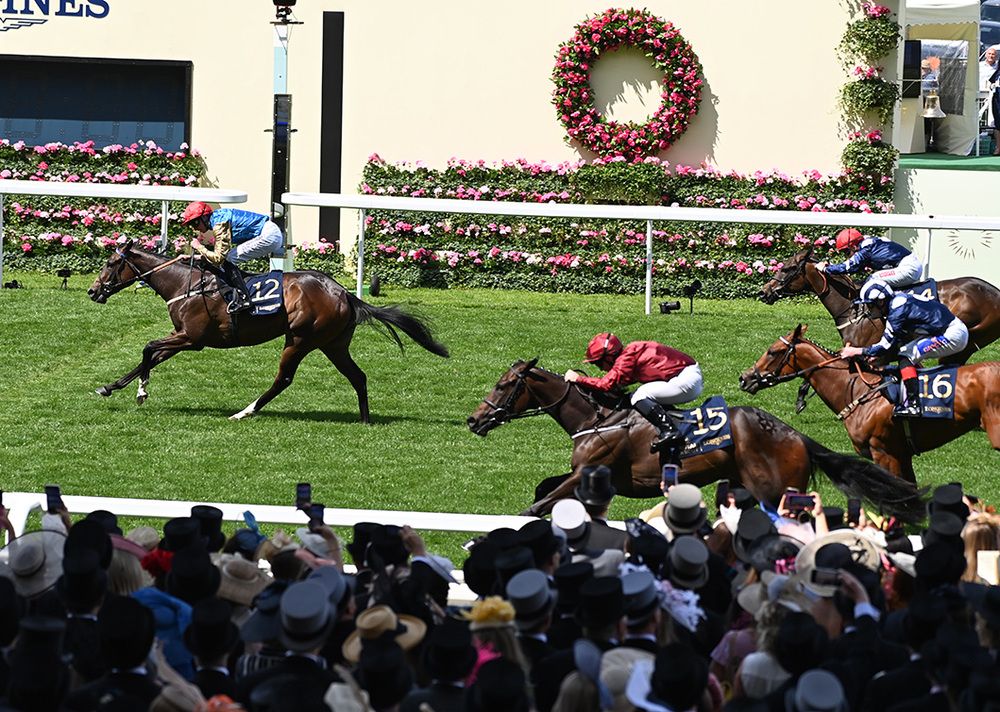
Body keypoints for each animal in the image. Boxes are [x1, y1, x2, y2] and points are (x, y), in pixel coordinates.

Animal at [88, 242, 448, 420]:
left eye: (110, 264)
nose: (93, 291)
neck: (186, 283)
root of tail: (345, 293)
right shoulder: (184, 337)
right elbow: (149, 356)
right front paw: (111, 387)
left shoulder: (192, 338)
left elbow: (148, 347)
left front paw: (140, 392)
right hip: (333, 344)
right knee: (358, 377)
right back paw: (364, 420)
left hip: (301, 339)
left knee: (283, 379)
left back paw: (244, 412)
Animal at [466, 358, 920, 520]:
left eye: (504, 384)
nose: (474, 420)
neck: (599, 418)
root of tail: (796, 436)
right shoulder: (586, 475)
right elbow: (545, 490)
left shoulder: (591, 470)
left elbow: (536, 505)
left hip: (774, 489)